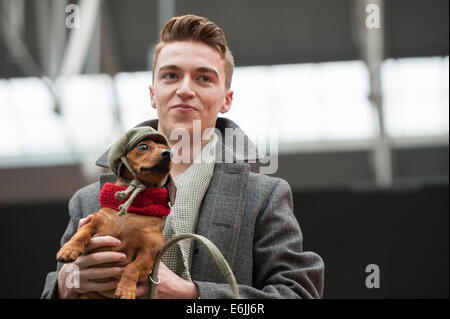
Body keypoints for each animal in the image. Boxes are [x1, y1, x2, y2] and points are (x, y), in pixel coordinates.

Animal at [55, 128, 174, 300]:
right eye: (143, 146)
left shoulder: (149, 251)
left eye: (170, 150)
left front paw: (126, 289)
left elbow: (133, 267)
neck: (132, 211)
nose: (168, 154)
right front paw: (69, 249)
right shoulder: (94, 221)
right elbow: (81, 233)